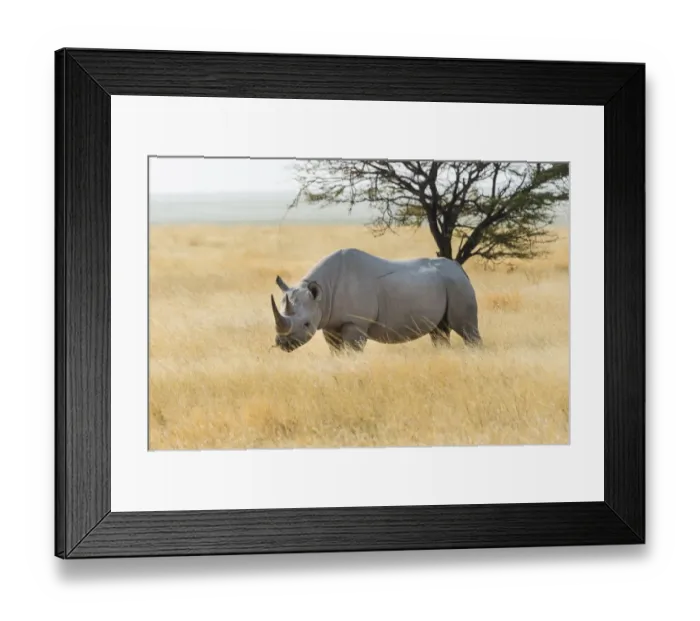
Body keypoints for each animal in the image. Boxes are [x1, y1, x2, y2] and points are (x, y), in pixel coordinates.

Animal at [270, 248, 482, 354]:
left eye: (306, 324)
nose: (283, 344)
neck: (322, 294)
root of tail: (459, 268)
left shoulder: (355, 322)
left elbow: (352, 351)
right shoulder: (329, 322)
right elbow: (335, 350)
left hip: (456, 284)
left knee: (466, 329)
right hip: (445, 283)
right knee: (439, 330)